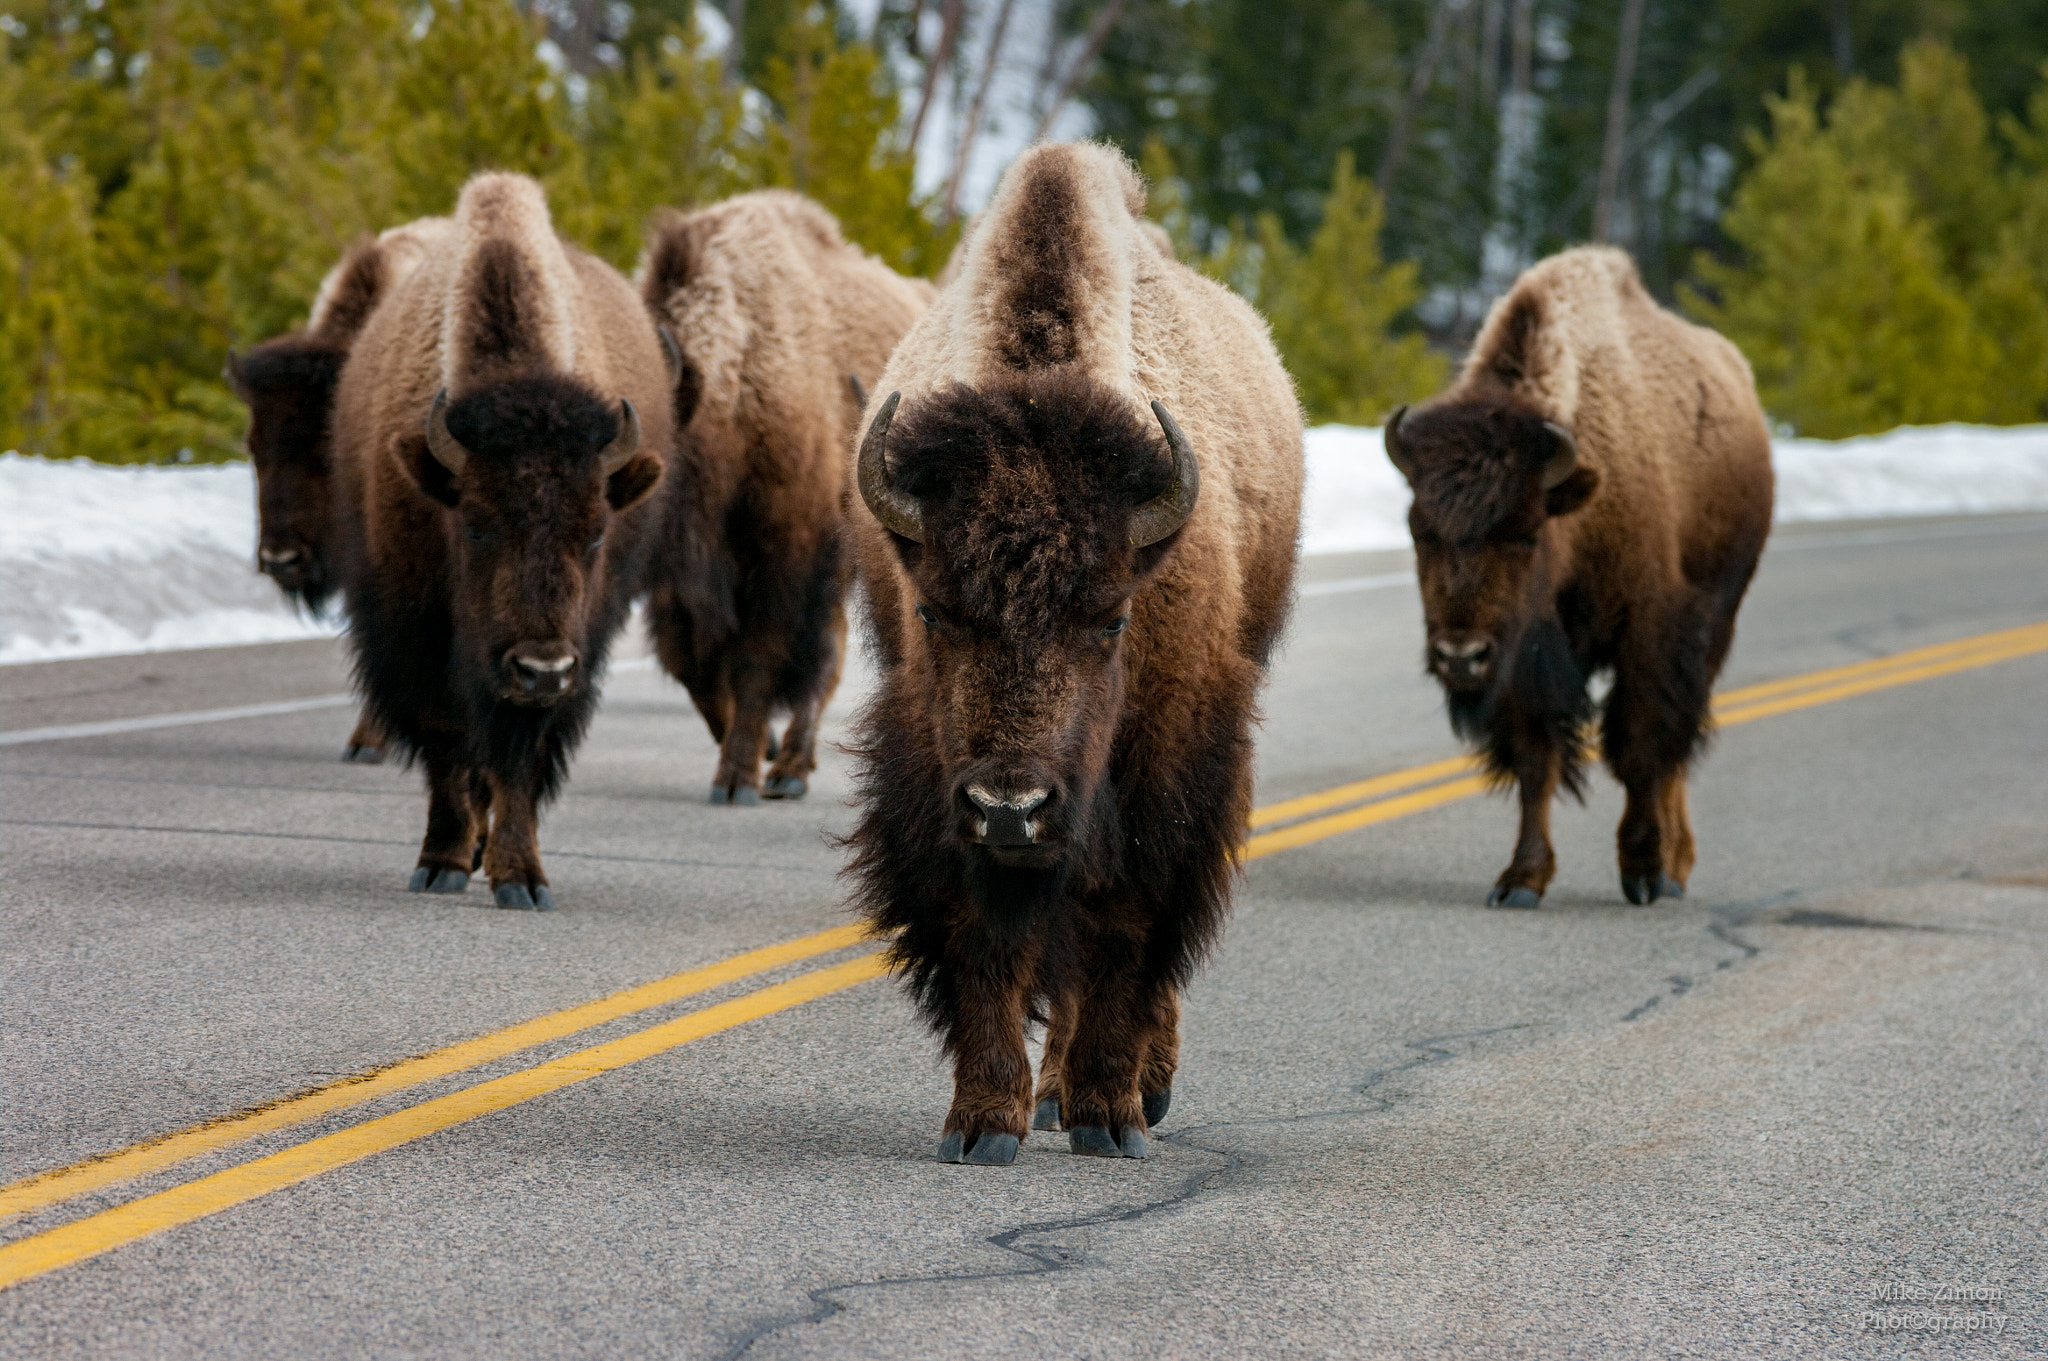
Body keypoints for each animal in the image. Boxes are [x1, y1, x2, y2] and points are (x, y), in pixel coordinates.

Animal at [331, 174, 675, 908]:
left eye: (596, 532)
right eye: (477, 523)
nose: (541, 668)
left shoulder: (571, 653)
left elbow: (520, 757)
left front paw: (521, 877)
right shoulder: (420, 633)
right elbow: (448, 743)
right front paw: (441, 863)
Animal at [634, 195, 933, 802]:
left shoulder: (786, 560)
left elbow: (758, 661)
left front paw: (737, 778)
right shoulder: (681, 587)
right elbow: (693, 666)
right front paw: (753, 749)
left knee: (829, 659)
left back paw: (790, 771)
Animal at [843, 148, 1294, 1170]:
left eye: (1111, 618)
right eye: (933, 609)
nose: (1011, 805)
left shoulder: (1166, 771)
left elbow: (1127, 928)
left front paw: (1109, 1114)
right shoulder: (936, 784)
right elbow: (984, 937)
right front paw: (983, 1123)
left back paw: (1131, 1089)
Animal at [1392, 249, 1777, 908]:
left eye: (1525, 533)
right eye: (1418, 529)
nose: (1460, 655)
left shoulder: (1649, 634)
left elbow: (1640, 747)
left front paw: (1643, 870)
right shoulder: (1526, 658)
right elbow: (1535, 760)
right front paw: (1521, 880)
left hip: (1718, 618)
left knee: (1678, 741)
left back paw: (1674, 869)